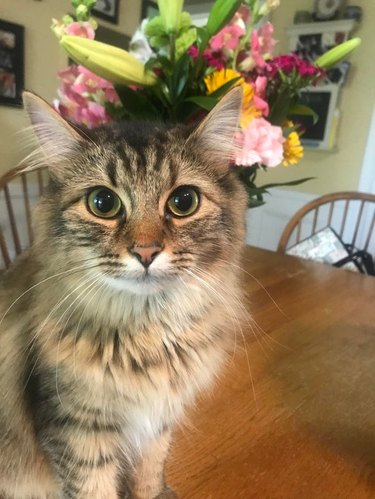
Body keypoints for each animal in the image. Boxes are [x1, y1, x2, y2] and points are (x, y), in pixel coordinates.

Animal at [0, 88, 247, 498]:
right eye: (103, 203)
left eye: (184, 202)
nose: (146, 252)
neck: (148, 337)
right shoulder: (77, 432)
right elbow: (95, 489)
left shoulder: (157, 422)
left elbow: (148, 475)